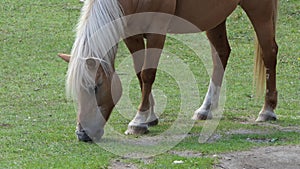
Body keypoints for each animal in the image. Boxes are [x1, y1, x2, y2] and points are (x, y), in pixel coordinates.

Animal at [61, 0, 278, 142]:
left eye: (96, 87)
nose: (82, 134)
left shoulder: (157, 31)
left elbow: (148, 74)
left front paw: (139, 122)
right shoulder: (131, 34)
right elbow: (139, 74)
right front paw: (150, 116)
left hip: (260, 10)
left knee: (269, 53)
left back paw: (267, 110)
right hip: (215, 16)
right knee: (221, 54)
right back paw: (206, 108)